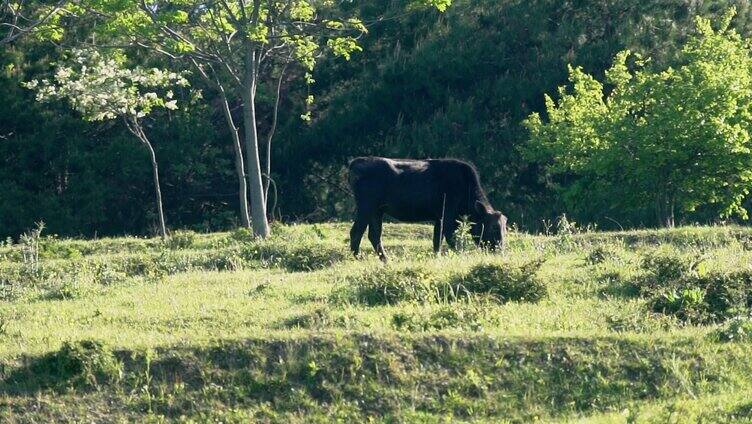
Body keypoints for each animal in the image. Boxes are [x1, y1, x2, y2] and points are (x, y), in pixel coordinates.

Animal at [346, 157, 506, 262]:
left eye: (505, 227)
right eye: (493, 227)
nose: (500, 249)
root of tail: (356, 162)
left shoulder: (439, 218)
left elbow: (437, 240)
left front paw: (437, 256)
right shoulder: (447, 218)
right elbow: (450, 239)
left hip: (377, 211)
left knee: (374, 235)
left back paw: (385, 259)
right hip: (366, 207)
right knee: (356, 232)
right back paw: (357, 257)